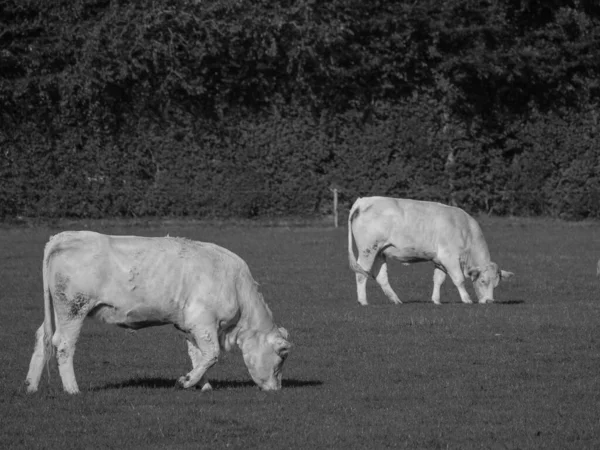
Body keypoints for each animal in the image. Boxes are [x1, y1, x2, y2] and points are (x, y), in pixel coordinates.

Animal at [24, 232, 292, 394]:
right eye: (281, 357)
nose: (276, 389)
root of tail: (65, 236)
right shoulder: (203, 321)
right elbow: (212, 355)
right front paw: (187, 381)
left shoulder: (189, 325)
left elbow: (198, 355)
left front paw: (201, 385)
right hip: (73, 309)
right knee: (63, 345)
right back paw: (72, 390)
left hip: (57, 311)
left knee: (42, 339)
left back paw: (31, 386)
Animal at [350, 197, 512, 306]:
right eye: (483, 281)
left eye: (496, 284)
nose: (489, 301)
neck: (465, 230)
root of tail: (363, 201)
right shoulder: (449, 257)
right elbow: (459, 279)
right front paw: (466, 299)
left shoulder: (439, 260)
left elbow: (438, 279)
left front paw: (436, 300)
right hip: (367, 250)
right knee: (361, 274)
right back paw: (363, 301)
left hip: (379, 252)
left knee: (381, 277)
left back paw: (396, 300)